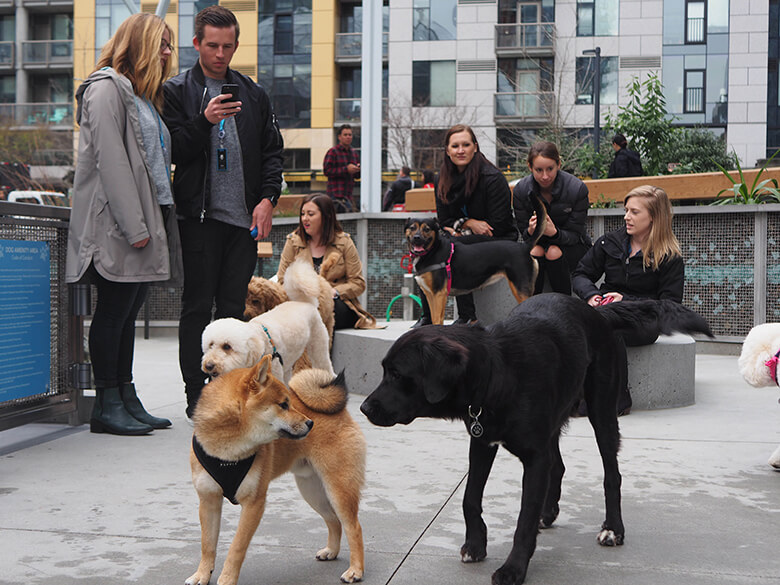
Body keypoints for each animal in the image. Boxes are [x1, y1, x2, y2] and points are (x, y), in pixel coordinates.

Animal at [200, 260, 334, 384]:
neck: (260, 343)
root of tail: (305, 302)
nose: (208, 365)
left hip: (318, 346)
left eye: (227, 346)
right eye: (210, 345)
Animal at [360, 294, 712, 584]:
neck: (496, 371)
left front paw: (513, 569)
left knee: (612, 474)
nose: (363, 408)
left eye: (396, 374)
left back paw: (613, 528)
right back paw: (549, 511)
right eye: (385, 370)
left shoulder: (534, 456)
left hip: (601, 412)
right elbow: (469, 498)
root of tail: (597, 311)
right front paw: (476, 544)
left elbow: (523, 518)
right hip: (554, 422)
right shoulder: (482, 441)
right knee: (559, 465)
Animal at [408, 195, 548, 324]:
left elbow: (437, 320)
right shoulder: (430, 295)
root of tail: (524, 246)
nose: (417, 238)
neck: (432, 251)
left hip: (520, 288)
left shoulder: (439, 294)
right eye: (412, 228)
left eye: (427, 229)